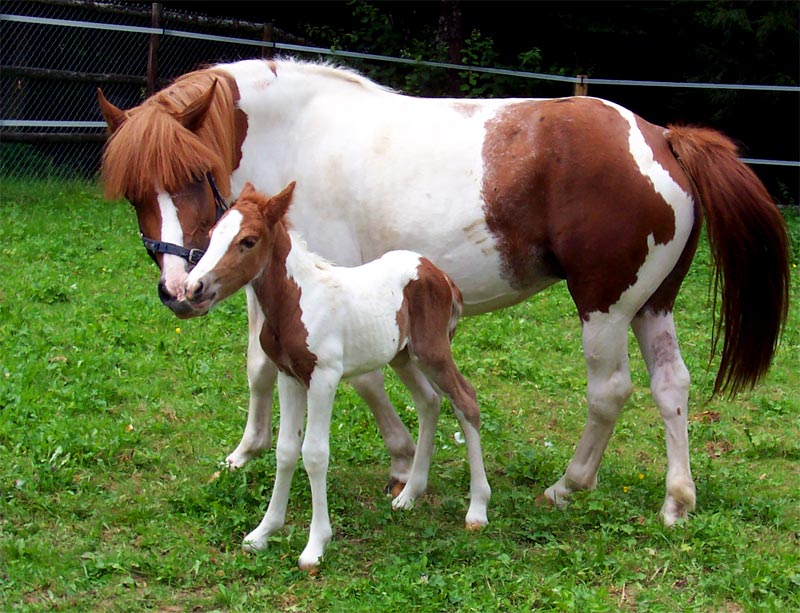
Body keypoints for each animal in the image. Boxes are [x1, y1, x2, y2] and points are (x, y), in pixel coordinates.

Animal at [184, 182, 490, 568]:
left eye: (248, 241)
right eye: (212, 235)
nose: (193, 288)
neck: (297, 300)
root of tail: (440, 274)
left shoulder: (324, 378)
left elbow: (315, 454)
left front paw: (315, 545)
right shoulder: (289, 376)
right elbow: (286, 450)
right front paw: (264, 532)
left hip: (432, 351)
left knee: (466, 400)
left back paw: (477, 508)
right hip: (403, 356)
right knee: (429, 402)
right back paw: (409, 495)